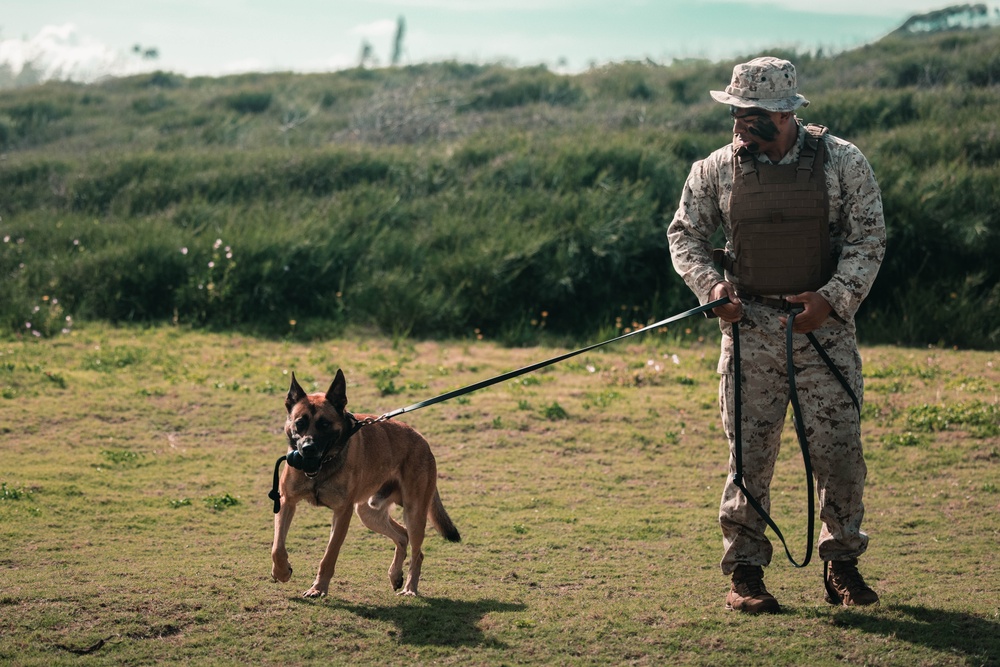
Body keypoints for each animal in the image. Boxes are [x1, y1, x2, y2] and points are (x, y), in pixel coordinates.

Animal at [272, 370, 462, 600]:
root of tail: (423, 441)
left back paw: (410, 588)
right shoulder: (286, 501)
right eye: (300, 423)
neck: (323, 467)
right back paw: (395, 575)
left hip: (414, 513)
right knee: (402, 536)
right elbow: (277, 547)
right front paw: (282, 572)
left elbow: (329, 555)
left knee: (417, 553)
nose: (308, 449)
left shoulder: (342, 513)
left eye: (324, 424)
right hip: (368, 513)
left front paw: (318, 588)